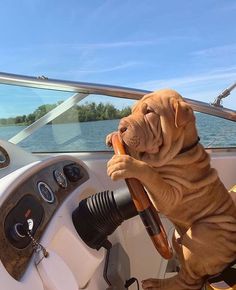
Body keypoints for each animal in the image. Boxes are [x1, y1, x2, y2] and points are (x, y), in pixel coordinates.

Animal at [107, 89, 236, 290]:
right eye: (133, 110)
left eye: (149, 112)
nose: (121, 126)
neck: (180, 150)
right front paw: (115, 138)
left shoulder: (169, 195)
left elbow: (149, 172)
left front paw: (126, 163)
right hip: (176, 237)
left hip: (201, 233)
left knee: (190, 280)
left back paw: (158, 284)